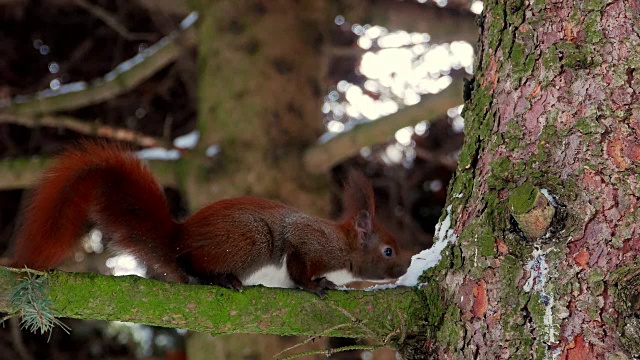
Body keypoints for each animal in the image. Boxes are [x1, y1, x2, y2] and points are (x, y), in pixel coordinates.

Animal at [8, 141, 410, 296]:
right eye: (388, 251)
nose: (404, 269)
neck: (344, 249)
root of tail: (176, 241)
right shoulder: (309, 240)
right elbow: (298, 265)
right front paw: (314, 285)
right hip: (251, 239)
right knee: (195, 267)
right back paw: (221, 279)